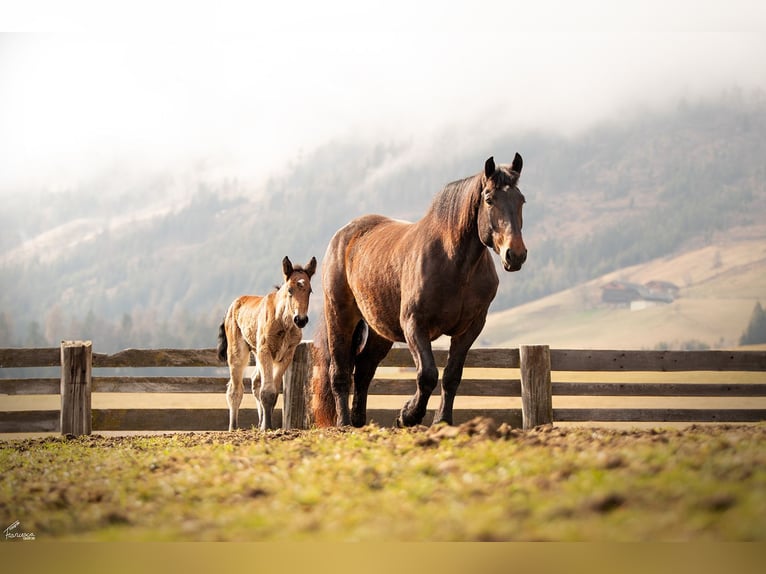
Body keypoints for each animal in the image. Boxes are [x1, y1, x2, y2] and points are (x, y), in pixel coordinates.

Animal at [217, 256, 317, 431]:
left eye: (309, 291)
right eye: (290, 290)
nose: (301, 320)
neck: (283, 322)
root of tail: (233, 305)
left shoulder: (287, 355)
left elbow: (273, 392)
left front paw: (265, 425)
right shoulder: (266, 350)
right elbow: (267, 391)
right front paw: (267, 427)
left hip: (256, 352)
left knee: (256, 381)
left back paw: (258, 423)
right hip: (238, 352)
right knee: (235, 389)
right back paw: (233, 427)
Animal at [312, 154, 526, 428]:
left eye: (521, 200)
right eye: (489, 199)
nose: (515, 254)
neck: (455, 264)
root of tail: (343, 234)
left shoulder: (470, 329)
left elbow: (452, 376)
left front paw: (442, 420)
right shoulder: (415, 324)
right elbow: (427, 374)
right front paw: (408, 415)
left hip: (380, 330)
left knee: (364, 370)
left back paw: (360, 421)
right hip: (340, 316)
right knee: (339, 371)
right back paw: (344, 423)